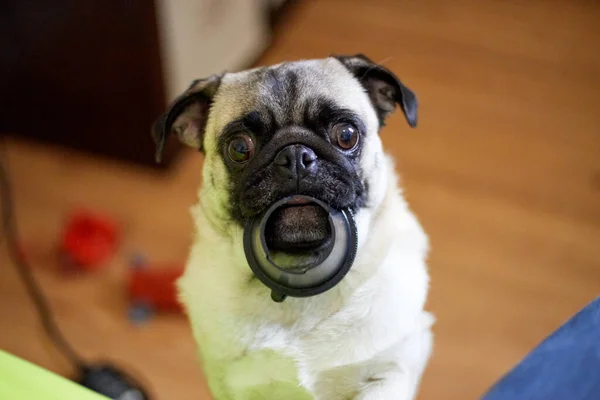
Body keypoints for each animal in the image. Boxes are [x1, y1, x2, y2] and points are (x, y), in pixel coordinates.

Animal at [152, 54, 434, 400]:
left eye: (346, 135)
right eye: (239, 148)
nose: (295, 154)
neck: (300, 280)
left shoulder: (393, 370)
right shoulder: (229, 385)